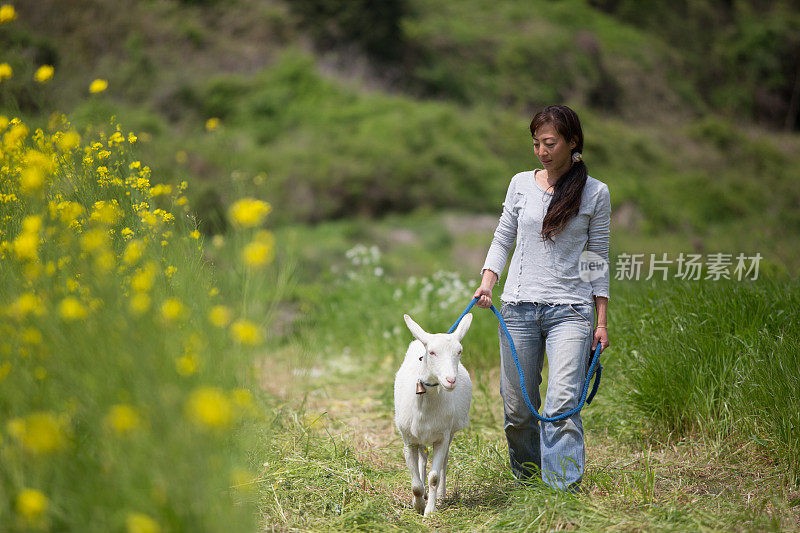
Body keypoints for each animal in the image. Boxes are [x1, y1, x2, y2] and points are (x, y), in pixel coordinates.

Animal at [392, 314, 472, 512]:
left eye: (459, 351)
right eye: (432, 352)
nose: (450, 380)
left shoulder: (442, 436)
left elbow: (434, 477)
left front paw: (429, 511)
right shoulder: (408, 441)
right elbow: (415, 485)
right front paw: (418, 504)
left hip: (450, 432)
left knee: (444, 461)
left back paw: (441, 497)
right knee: (423, 458)